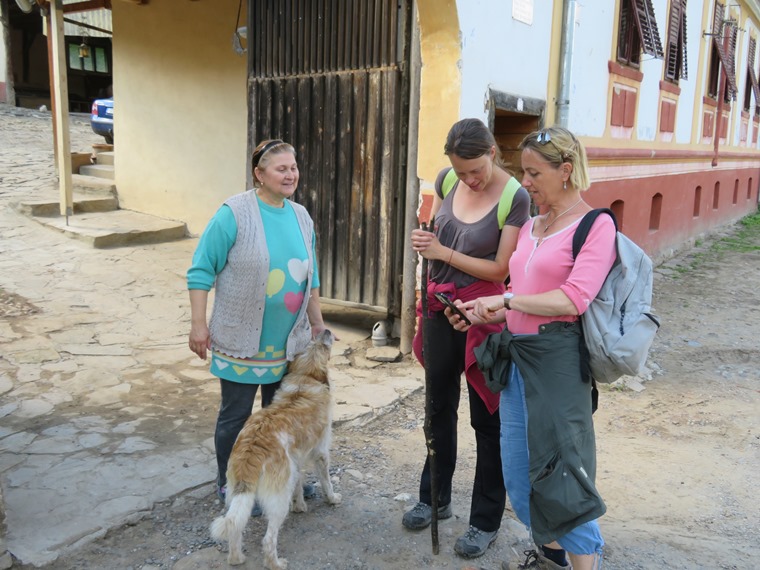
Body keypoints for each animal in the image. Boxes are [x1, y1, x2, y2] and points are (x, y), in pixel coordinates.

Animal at [208, 328, 338, 568]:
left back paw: (236, 559)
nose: (325, 330)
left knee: (235, 530)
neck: (304, 380)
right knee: (268, 539)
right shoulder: (320, 453)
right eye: (321, 345)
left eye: (311, 341)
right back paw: (276, 563)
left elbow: (299, 483)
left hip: (236, 494)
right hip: (277, 500)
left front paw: (300, 505)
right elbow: (326, 481)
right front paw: (332, 499)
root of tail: (252, 450)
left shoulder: (296, 460)